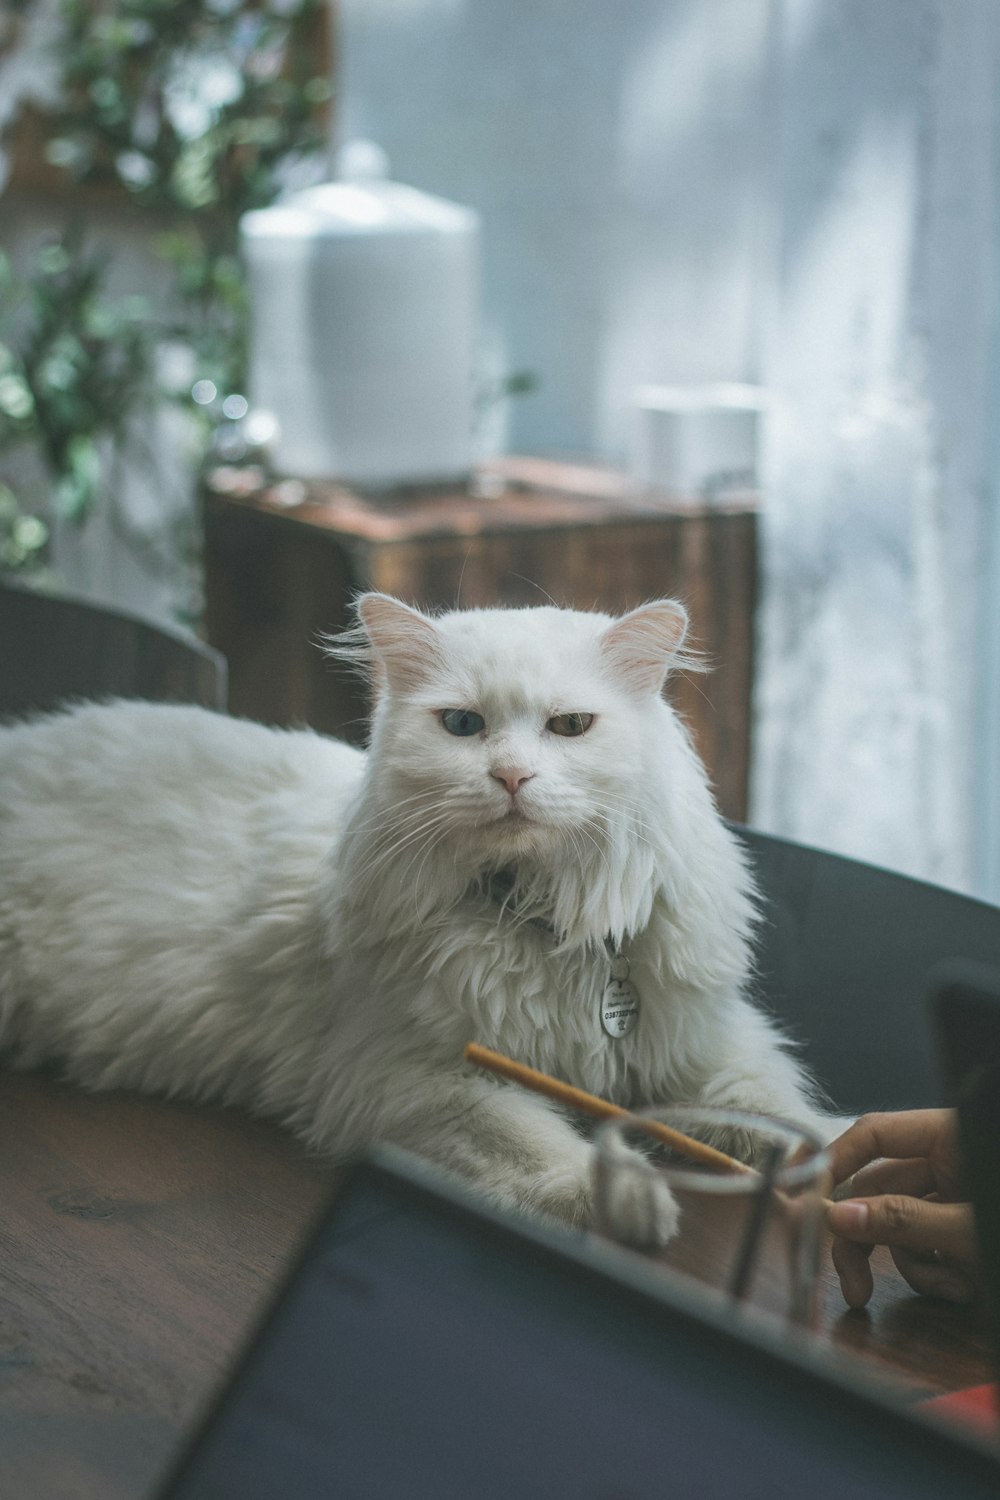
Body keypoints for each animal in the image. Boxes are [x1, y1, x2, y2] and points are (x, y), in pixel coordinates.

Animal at [0, 597, 827, 1242]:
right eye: (462, 724)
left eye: (570, 726)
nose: (512, 776)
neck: (535, 916)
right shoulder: (418, 1076)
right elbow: (544, 1146)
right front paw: (632, 1202)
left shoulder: (696, 1042)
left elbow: (778, 1111)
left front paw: (836, 1168)